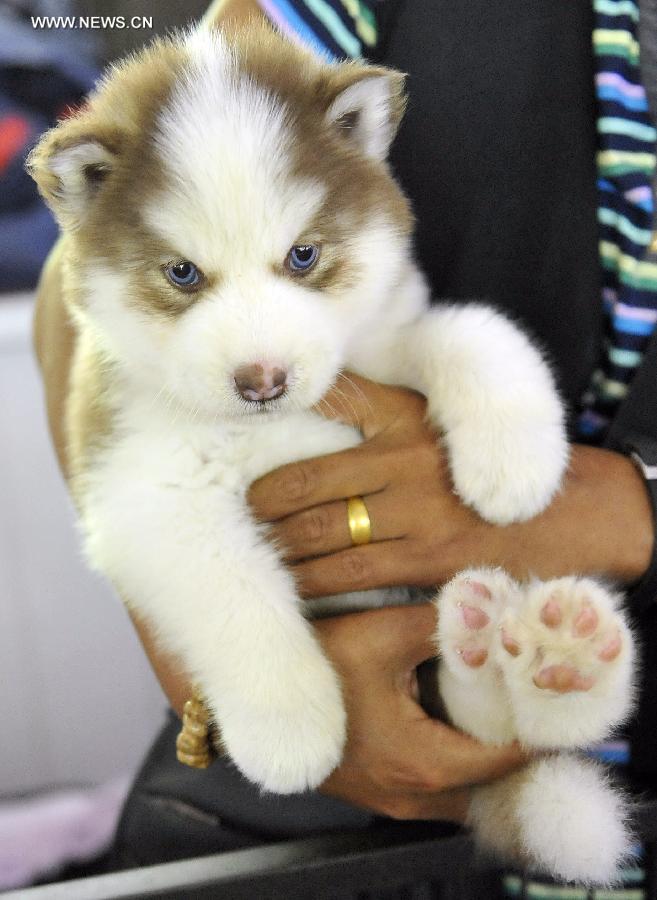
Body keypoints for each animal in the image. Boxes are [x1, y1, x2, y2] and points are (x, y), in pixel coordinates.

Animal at [29, 21, 636, 884]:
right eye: (182, 273)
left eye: (304, 256)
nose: (261, 380)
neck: (265, 426)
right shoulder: (140, 488)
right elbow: (236, 597)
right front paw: (291, 726)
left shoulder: (379, 345)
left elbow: (472, 328)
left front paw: (514, 461)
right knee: (478, 726)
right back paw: (513, 647)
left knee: (501, 735)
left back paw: (562, 657)